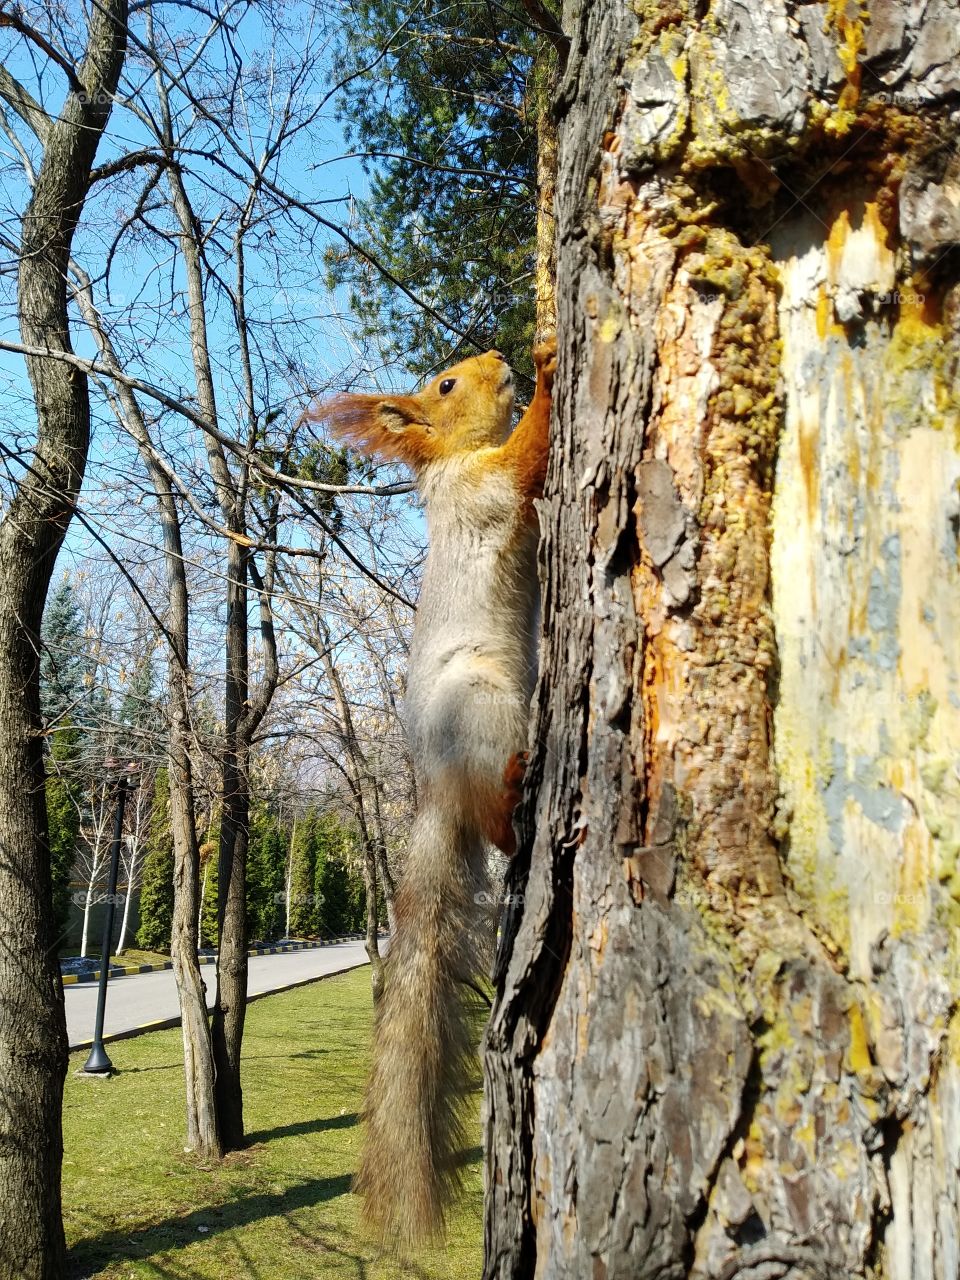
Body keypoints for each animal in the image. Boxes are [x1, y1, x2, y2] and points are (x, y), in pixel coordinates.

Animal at [315, 339, 557, 1246]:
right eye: (447, 384)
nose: (494, 355)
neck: (451, 460)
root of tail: (436, 795)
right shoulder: (483, 490)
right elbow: (525, 454)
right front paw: (549, 366)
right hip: (483, 710)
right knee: (495, 822)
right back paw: (518, 796)